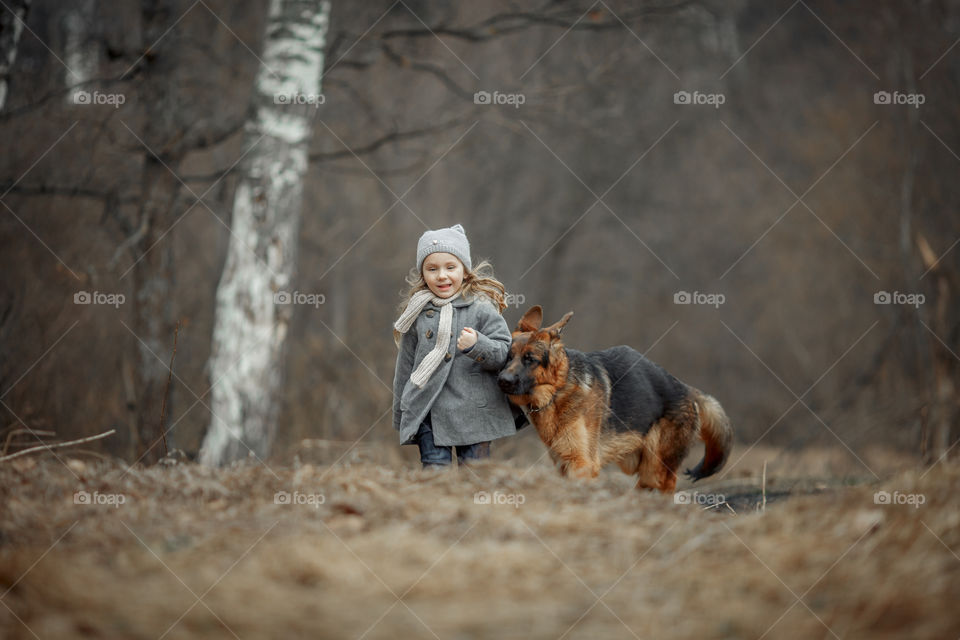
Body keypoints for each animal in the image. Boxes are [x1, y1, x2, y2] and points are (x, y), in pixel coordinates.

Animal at [498, 308, 732, 492]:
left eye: (530, 359)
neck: (558, 390)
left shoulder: (582, 465)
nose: (502, 381)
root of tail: (688, 390)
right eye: (508, 357)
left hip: (656, 469)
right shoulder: (564, 464)